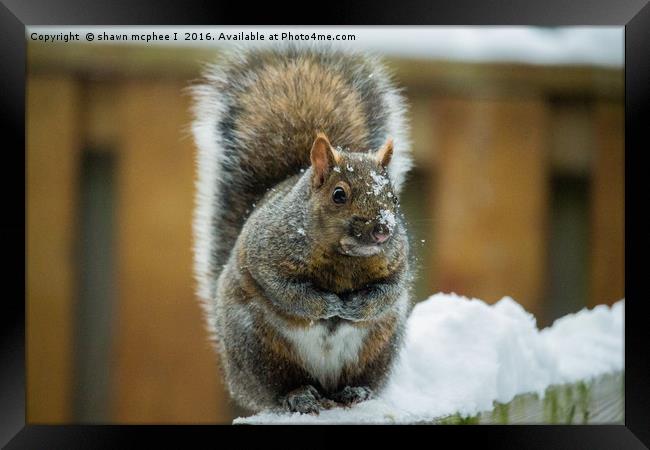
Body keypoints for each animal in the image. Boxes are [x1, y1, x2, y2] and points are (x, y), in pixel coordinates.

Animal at [192, 45, 412, 414]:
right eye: (339, 195)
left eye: (393, 197)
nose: (383, 230)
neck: (345, 258)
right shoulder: (267, 254)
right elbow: (289, 292)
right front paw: (329, 305)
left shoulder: (398, 264)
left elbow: (388, 292)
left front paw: (355, 306)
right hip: (258, 348)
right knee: (277, 388)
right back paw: (298, 395)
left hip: (378, 349)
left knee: (357, 379)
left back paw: (355, 392)